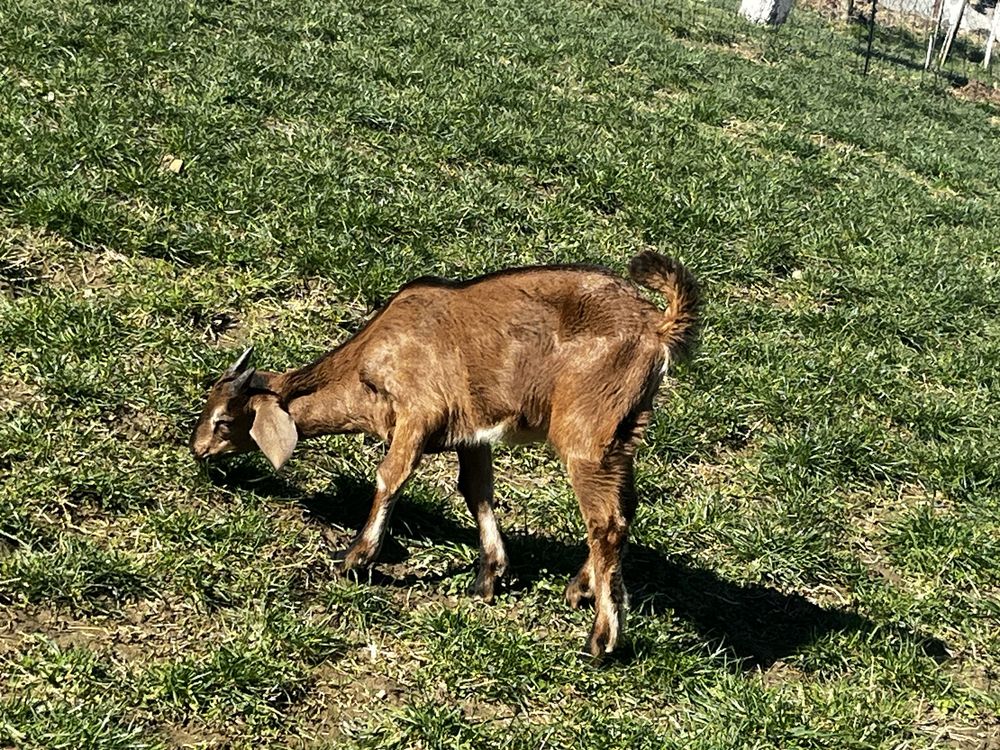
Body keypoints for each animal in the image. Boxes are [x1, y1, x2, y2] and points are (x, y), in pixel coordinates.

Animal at [191, 253, 700, 656]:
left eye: (223, 419)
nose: (197, 449)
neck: (368, 363)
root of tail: (657, 326)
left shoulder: (417, 413)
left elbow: (390, 477)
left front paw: (354, 558)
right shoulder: (472, 435)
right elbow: (476, 492)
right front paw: (489, 576)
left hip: (587, 434)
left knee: (605, 521)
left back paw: (600, 639)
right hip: (622, 436)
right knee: (625, 509)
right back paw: (580, 588)